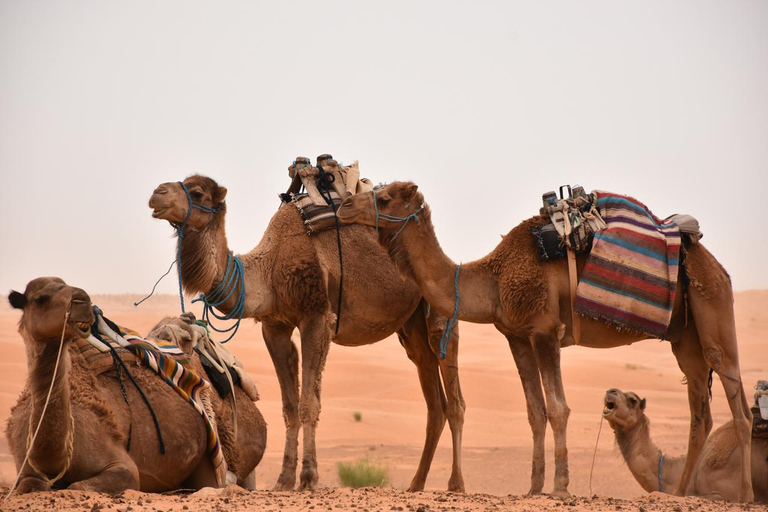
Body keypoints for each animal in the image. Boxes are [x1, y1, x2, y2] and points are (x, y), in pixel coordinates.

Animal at [5, 278, 268, 494]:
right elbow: (30, 486)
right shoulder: (25, 471)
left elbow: (78, 486)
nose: (81, 300)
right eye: (41, 299)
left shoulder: (123, 466)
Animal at [148, 175, 464, 492]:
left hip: (440, 309)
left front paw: (309, 477)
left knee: (454, 398)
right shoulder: (274, 326)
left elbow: (308, 403)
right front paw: (284, 480)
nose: (157, 193)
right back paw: (416, 483)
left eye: (198, 192)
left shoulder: (317, 317)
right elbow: (289, 407)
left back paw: (456, 484)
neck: (269, 267)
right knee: (432, 396)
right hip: (411, 325)